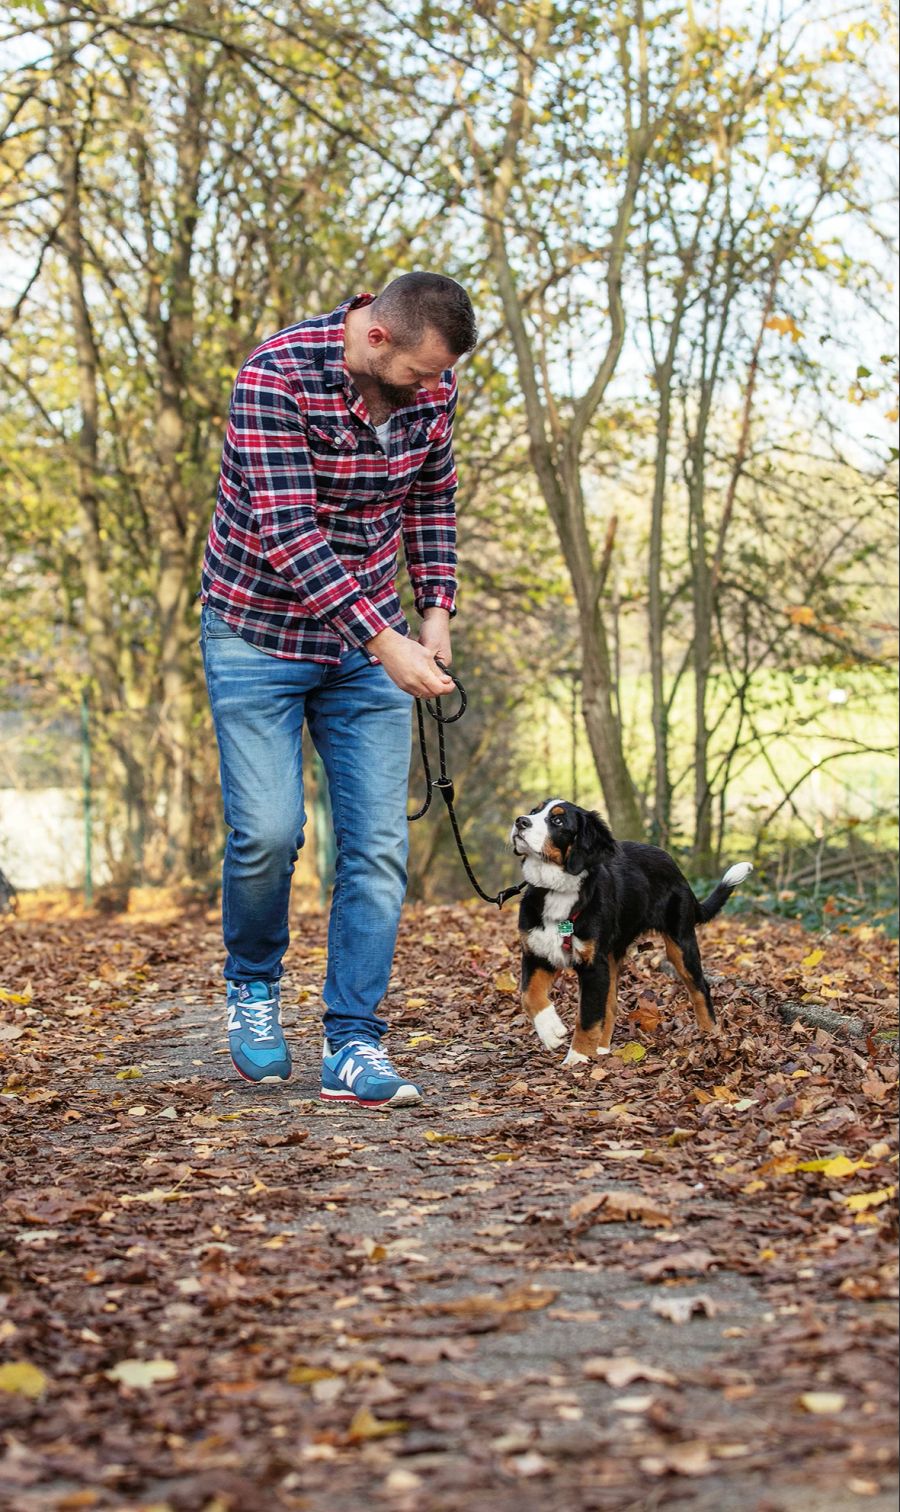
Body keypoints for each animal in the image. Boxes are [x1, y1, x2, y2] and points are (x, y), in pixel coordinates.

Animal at [508, 804, 753, 1064]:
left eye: (557, 820)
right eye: (534, 811)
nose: (520, 821)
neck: (556, 891)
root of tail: (674, 865)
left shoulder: (593, 966)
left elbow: (587, 1017)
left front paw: (577, 1058)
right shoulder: (538, 954)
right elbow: (528, 995)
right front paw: (551, 1031)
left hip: (680, 942)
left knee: (700, 988)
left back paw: (710, 1034)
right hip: (612, 956)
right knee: (611, 1005)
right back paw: (602, 1049)